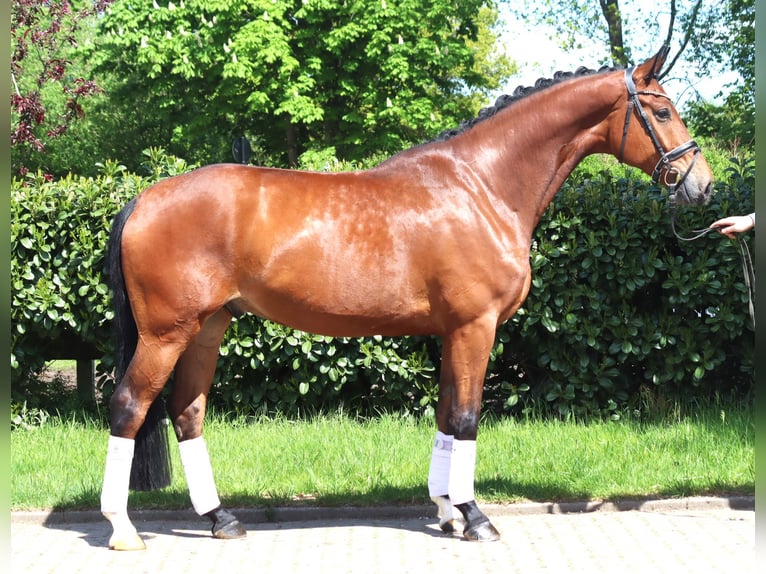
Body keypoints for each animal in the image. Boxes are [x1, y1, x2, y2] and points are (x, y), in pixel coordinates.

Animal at [100, 47, 713, 550]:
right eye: (661, 112)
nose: (701, 184)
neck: (482, 187)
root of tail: (145, 199)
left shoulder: (451, 332)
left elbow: (444, 414)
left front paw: (446, 512)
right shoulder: (475, 327)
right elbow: (466, 417)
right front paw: (475, 517)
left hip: (207, 328)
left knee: (187, 412)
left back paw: (221, 519)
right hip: (166, 333)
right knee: (129, 406)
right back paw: (124, 529)